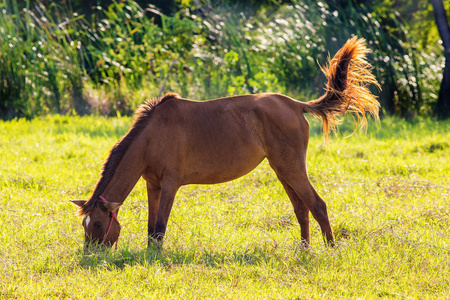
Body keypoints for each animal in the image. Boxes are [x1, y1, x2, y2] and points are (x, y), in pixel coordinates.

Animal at [73, 37, 380, 248]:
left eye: (98, 223)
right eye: (85, 225)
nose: (91, 254)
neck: (151, 135)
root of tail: (294, 104)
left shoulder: (170, 184)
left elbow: (160, 226)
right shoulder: (153, 186)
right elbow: (151, 229)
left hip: (291, 169)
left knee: (317, 205)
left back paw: (330, 249)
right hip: (282, 170)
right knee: (301, 208)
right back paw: (304, 249)